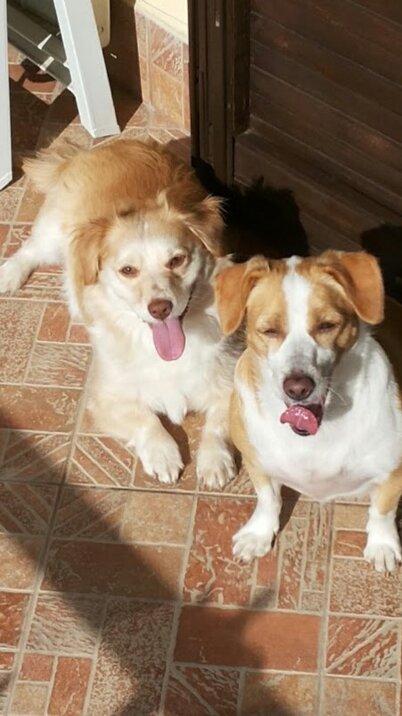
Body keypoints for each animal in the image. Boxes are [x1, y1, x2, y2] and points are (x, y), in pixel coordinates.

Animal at [0, 139, 241, 488]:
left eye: (177, 260)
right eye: (128, 271)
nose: (160, 308)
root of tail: (110, 145)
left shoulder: (232, 385)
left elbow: (218, 425)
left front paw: (214, 461)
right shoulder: (106, 398)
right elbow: (146, 420)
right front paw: (164, 456)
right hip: (52, 235)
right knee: (30, 249)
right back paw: (9, 275)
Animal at [215, 250, 402, 572]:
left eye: (327, 325)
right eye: (269, 330)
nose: (298, 387)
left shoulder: (394, 470)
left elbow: (382, 510)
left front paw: (382, 545)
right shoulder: (256, 460)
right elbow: (268, 499)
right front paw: (259, 533)